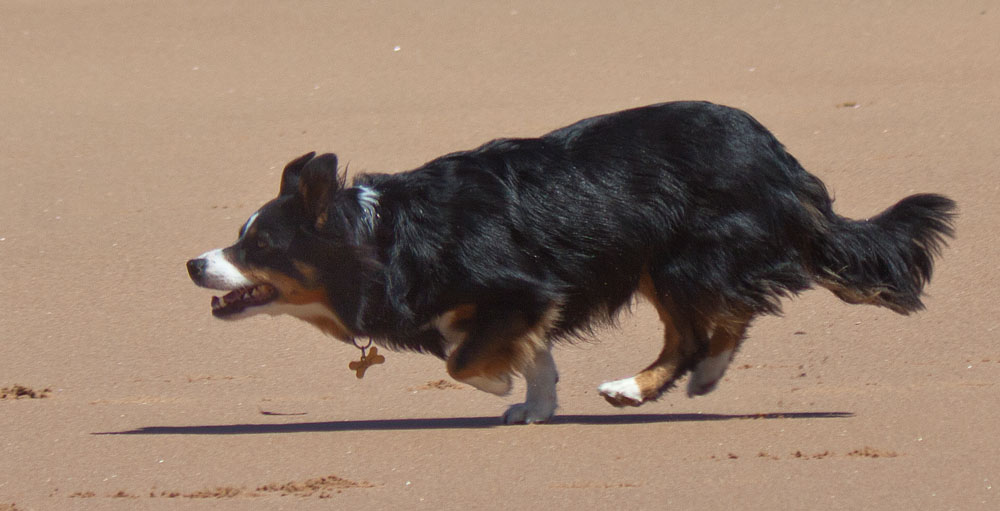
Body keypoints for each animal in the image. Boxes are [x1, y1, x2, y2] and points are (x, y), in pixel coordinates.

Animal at [184, 100, 956, 424]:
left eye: (258, 246)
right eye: (238, 237)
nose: (194, 263)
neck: (379, 237)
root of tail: (779, 158)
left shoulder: (524, 286)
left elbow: (462, 359)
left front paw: (500, 386)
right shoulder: (522, 303)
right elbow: (530, 355)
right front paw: (535, 405)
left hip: (682, 257)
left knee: (710, 323)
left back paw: (644, 386)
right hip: (665, 261)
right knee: (719, 321)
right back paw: (682, 381)